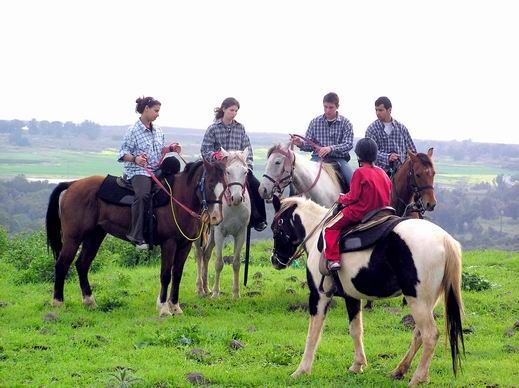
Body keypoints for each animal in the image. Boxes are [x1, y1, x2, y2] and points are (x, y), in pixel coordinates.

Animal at [47, 160, 228, 316]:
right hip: (73, 237)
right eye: (210, 184)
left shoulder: (185, 245)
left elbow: (177, 274)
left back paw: (89, 301)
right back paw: (58, 302)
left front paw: (176, 307)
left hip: (94, 236)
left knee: (82, 264)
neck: (178, 198)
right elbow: (165, 275)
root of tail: (73, 184)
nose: (216, 218)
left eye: (225, 186)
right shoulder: (169, 243)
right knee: (62, 264)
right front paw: (164, 309)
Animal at [195, 149, 252, 298]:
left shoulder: (241, 234)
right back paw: (200, 289)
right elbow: (219, 263)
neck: (234, 208)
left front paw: (236, 293)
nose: (236, 198)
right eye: (228, 172)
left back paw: (206, 288)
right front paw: (216, 293)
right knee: (199, 255)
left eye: (245, 172)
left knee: (206, 254)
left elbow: (236, 263)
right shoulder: (220, 233)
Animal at [270, 197, 466, 384]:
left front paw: (301, 370)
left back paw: (417, 378)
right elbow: (356, 329)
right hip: (426, 302)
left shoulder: (319, 296)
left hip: (417, 301)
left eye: (276, 228)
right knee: (418, 334)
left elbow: (313, 334)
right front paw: (357, 365)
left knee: (430, 335)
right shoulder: (351, 297)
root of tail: (444, 239)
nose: (275, 260)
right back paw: (403, 371)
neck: (318, 233)